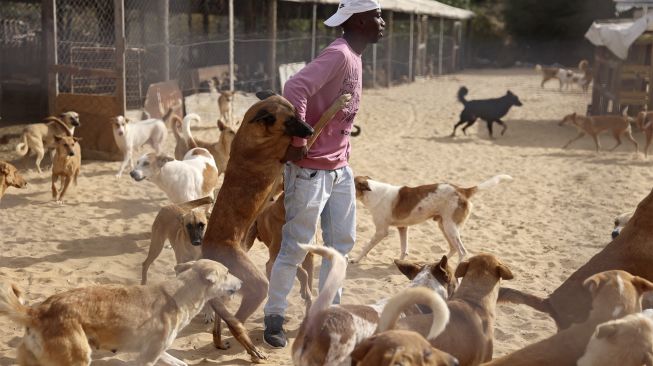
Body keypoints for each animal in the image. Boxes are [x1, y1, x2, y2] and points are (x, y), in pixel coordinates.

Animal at [0, 258, 242, 366]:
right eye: (227, 272)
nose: (241, 282)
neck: (178, 295)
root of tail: (39, 311)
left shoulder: (153, 350)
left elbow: (176, 361)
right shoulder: (147, 357)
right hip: (78, 358)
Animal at [348, 175, 512, 264]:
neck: (372, 193)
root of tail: (461, 190)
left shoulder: (381, 232)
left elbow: (366, 247)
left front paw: (355, 260)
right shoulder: (403, 228)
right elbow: (404, 248)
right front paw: (401, 262)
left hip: (450, 228)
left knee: (462, 251)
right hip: (444, 226)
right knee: (453, 248)